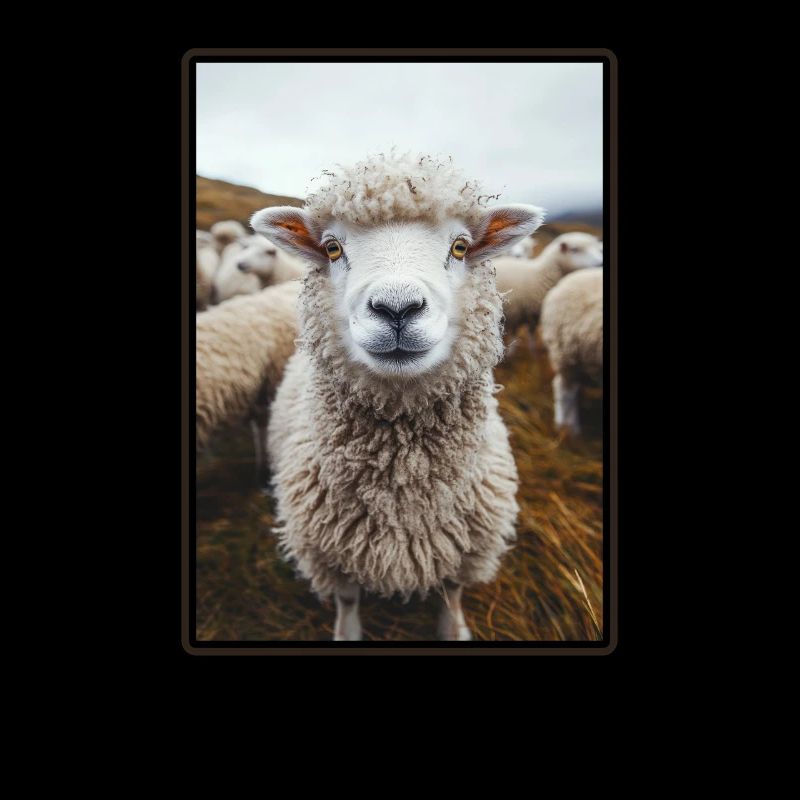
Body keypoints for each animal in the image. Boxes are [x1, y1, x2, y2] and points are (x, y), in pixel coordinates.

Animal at [251, 151, 545, 641]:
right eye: (332, 248)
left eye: (460, 247)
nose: (397, 309)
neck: (402, 480)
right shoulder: (331, 551)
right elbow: (348, 599)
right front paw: (347, 633)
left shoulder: (464, 547)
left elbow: (452, 594)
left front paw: (453, 630)